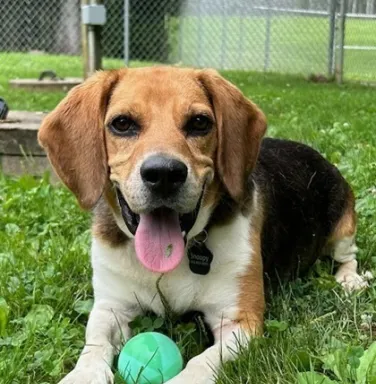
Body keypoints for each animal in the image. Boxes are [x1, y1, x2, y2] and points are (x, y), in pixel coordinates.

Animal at [37, 67, 368, 382]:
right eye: (122, 123)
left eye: (199, 122)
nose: (164, 173)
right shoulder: (110, 307)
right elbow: (95, 344)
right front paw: (82, 375)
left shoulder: (240, 321)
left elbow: (200, 364)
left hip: (343, 228)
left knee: (348, 257)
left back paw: (350, 280)